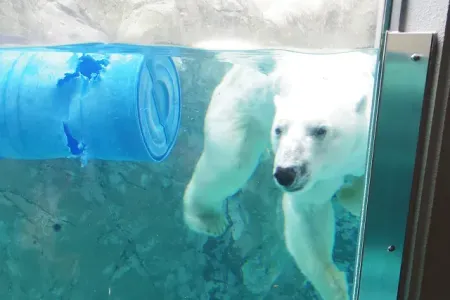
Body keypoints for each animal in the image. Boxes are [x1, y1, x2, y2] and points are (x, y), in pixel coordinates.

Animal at [183, 50, 376, 298]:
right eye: (279, 129)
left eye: (320, 130)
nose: (286, 173)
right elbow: (309, 212)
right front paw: (336, 288)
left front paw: (352, 195)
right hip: (243, 105)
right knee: (230, 163)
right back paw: (207, 218)